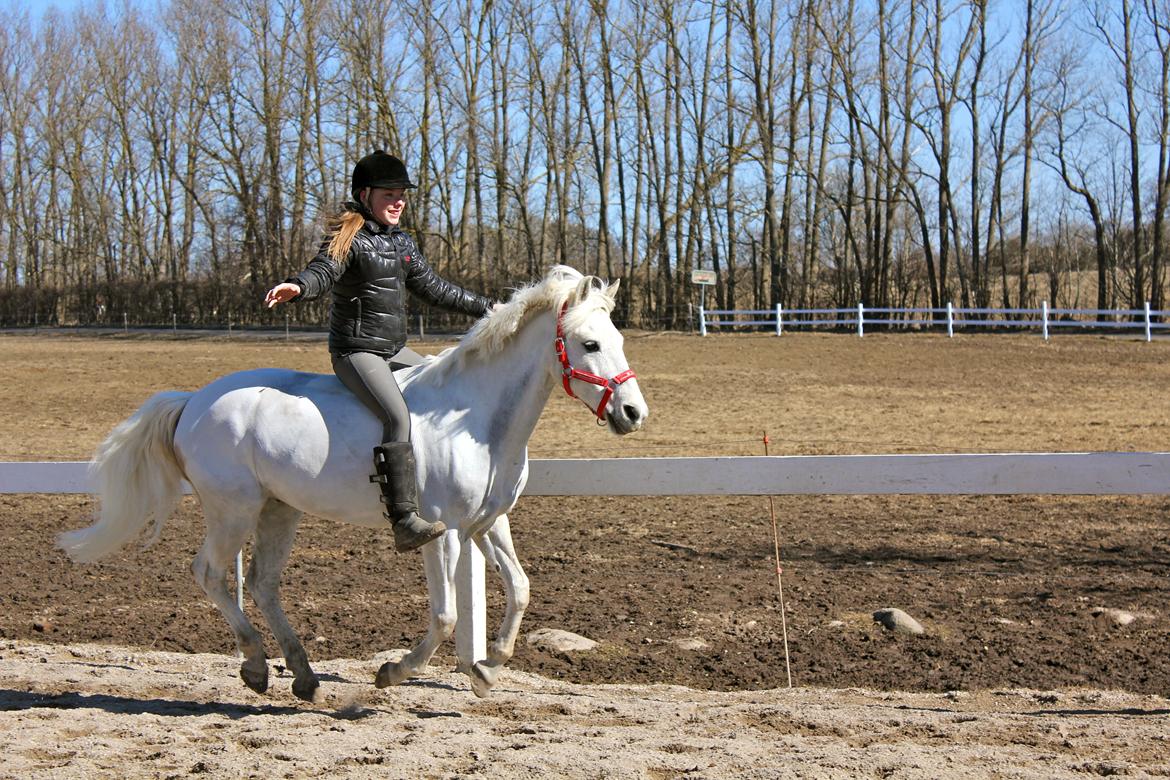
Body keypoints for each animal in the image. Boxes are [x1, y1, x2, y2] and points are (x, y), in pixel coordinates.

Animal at [57, 266, 650, 701]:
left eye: (618, 339)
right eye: (589, 343)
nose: (633, 412)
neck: (476, 417)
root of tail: (192, 401)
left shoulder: (487, 523)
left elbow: (521, 589)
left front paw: (488, 668)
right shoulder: (444, 533)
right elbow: (446, 614)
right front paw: (393, 672)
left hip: (280, 509)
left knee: (265, 583)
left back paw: (303, 676)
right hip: (233, 510)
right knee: (210, 574)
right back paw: (256, 665)